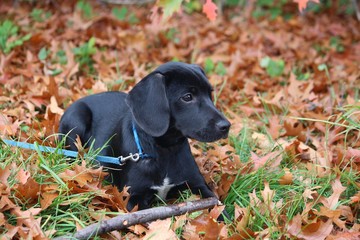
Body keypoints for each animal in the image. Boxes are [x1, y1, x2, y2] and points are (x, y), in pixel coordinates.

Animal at [59, 62, 231, 212]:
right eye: (187, 97)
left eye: (210, 94)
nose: (226, 126)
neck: (165, 150)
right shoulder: (133, 198)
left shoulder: (199, 185)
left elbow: (220, 209)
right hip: (76, 120)